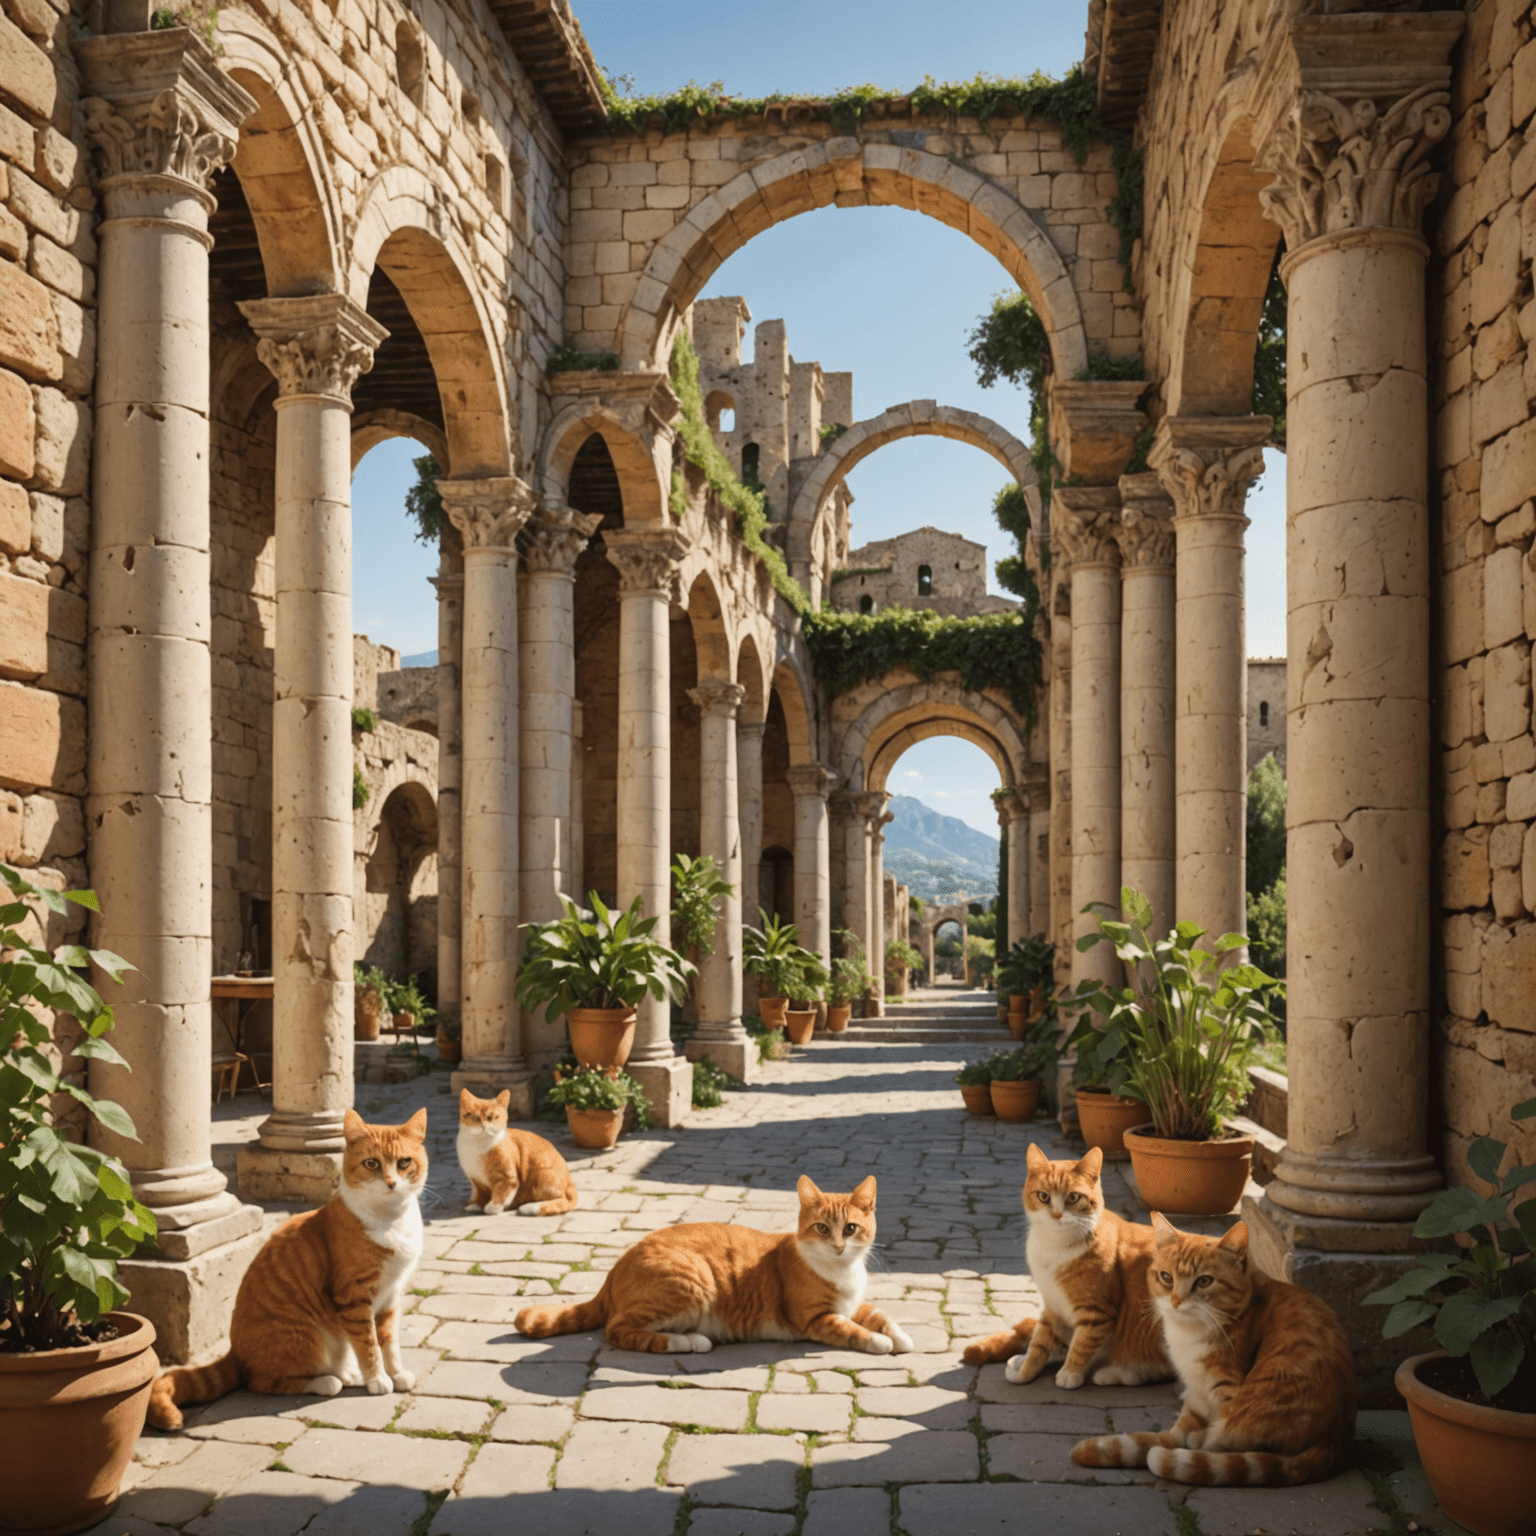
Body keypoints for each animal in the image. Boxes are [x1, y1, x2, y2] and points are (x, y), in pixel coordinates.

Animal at [147, 1112, 430, 1431]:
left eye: (404, 1163)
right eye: (372, 1163)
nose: (392, 1182)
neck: (390, 1220)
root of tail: (235, 1352)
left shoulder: (391, 1295)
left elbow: (389, 1342)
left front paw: (396, 1373)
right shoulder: (354, 1297)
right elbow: (368, 1343)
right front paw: (378, 1379)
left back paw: (347, 1374)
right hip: (307, 1336)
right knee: (264, 1381)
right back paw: (327, 1382)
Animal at [454, 1087, 580, 1216]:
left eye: (491, 1117)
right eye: (474, 1117)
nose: (483, 1125)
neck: (477, 1144)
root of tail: (569, 1181)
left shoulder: (507, 1176)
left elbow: (503, 1189)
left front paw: (494, 1207)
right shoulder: (476, 1180)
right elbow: (480, 1194)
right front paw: (477, 1204)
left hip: (542, 1173)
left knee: (563, 1200)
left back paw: (529, 1207)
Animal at [509, 1173, 915, 1357]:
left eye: (851, 1228)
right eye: (822, 1228)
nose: (838, 1246)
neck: (842, 1273)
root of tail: (613, 1271)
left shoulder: (853, 1304)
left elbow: (878, 1314)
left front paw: (902, 1336)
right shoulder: (816, 1319)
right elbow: (856, 1331)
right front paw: (882, 1342)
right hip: (692, 1281)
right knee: (619, 1330)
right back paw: (687, 1342)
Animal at [964, 1148, 1167, 1388]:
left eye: (1073, 1197)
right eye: (1044, 1196)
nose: (1057, 1214)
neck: (1054, 1247)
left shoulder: (1097, 1313)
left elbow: (1082, 1343)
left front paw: (1070, 1372)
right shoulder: (1053, 1305)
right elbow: (1039, 1342)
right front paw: (1025, 1370)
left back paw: (1118, 1372)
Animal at [1069, 1216, 1357, 1480]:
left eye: (1204, 1281)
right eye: (1166, 1277)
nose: (1175, 1301)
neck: (1187, 1335)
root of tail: (1335, 1437)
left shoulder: (1226, 1387)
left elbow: (1210, 1442)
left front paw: (1194, 1442)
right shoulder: (1197, 1387)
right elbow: (1174, 1432)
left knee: (1228, 1443)